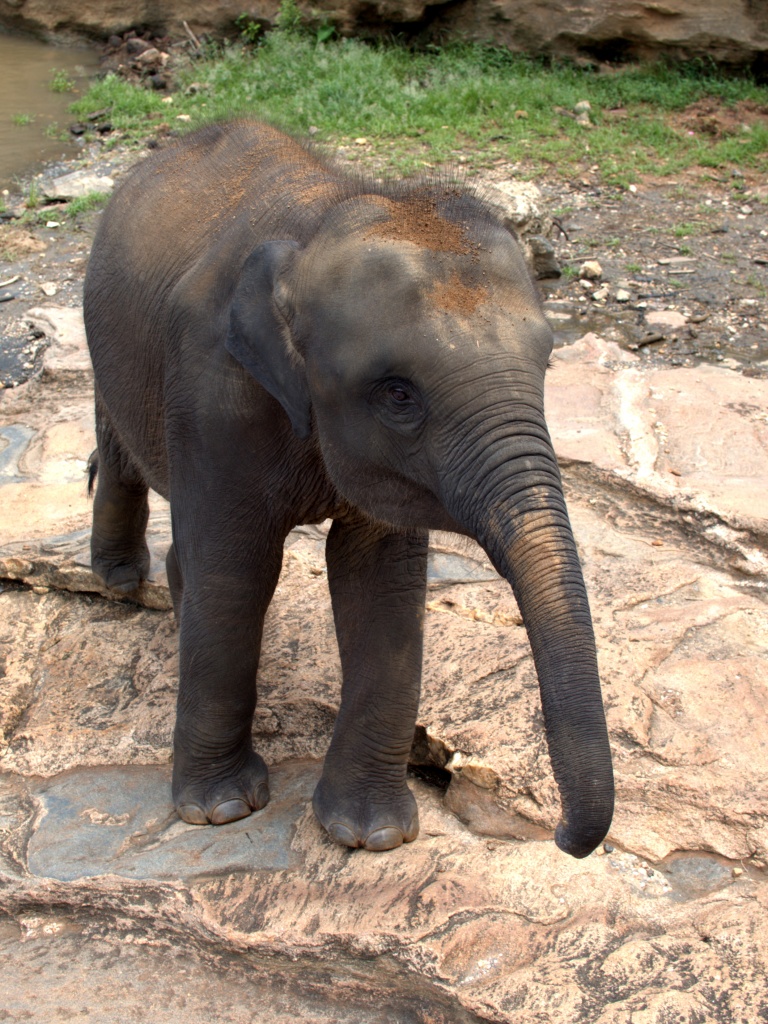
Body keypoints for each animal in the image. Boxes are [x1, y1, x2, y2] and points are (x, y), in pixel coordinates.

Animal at [84, 119, 613, 857]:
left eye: (547, 365)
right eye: (398, 394)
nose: (562, 835)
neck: (318, 225)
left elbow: (379, 580)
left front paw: (371, 835)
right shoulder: (212, 392)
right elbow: (237, 572)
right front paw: (222, 811)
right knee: (121, 453)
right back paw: (120, 581)